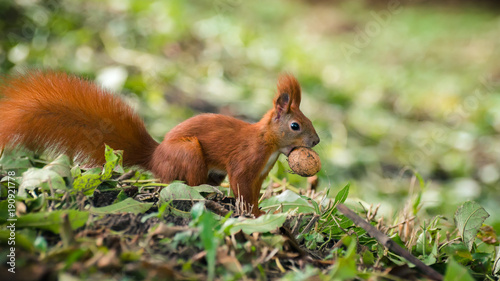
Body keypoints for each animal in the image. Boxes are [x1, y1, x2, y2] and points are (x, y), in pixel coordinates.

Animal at [0, 71, 318, 215]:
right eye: (295, 125)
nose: (315, 140)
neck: (268, 143)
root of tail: (155, 156)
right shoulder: (245, 163)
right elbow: (241, 187)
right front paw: (252, 215)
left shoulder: (260, 175)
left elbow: (253, 193)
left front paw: (261, 211)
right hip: (188, 152)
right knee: (186, 183)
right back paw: (203, 195)